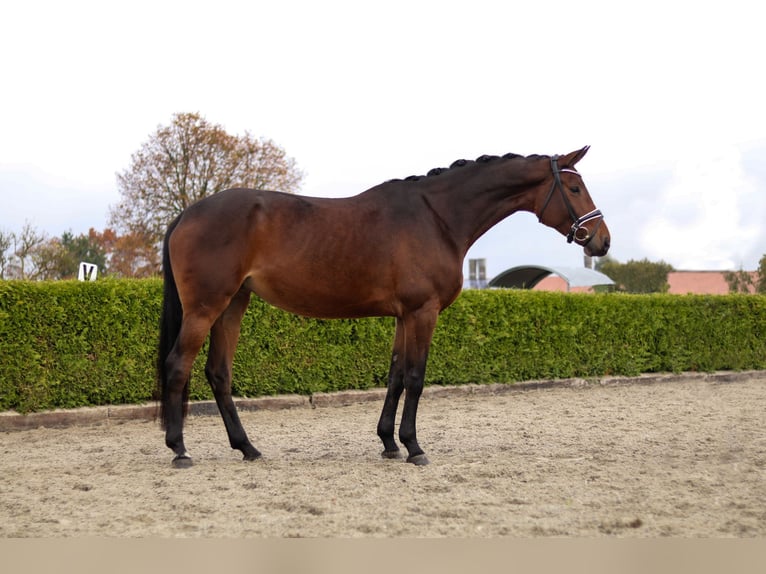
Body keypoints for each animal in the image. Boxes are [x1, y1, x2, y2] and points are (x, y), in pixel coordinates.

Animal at [157, 145, 610, 468]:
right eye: (574, 188)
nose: (602, 240)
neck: (437, 218)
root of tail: (187, 213)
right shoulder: (422, 312)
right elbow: (415, 377)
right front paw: (414, 446)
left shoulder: (402, 317)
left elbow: (395, 375)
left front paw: (389, 442)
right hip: (206, 307)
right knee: (179, 365)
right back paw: (179, 450)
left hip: (233, 304)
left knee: (218, 373)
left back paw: (247, 448)